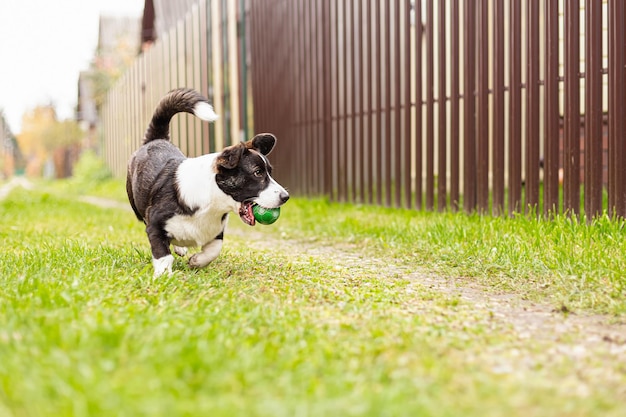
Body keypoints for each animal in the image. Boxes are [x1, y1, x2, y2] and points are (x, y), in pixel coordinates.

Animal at [127, 87, 292, 276]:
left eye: (269, 172)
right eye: (257, 173)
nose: (286, 197)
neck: (213, 201)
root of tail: (156, 139)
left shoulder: (217, 230)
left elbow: (214, 249)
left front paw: (196, 261)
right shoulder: (154, 223)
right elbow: (163, 254)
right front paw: (164, 276)